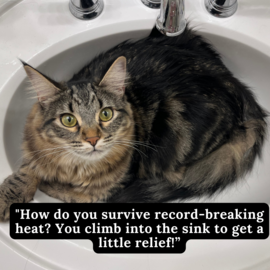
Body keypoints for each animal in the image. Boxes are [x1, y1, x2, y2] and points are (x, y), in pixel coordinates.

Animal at [0, 26, 266, 220]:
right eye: (68, 120)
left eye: (105, 114)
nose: (93, 139)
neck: (77, 168)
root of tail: (239, 88)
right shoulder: (33, 144)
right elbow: (27, 169)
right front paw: (9, 196)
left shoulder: (113, 187)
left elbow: (79, 195)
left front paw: (49, 186)